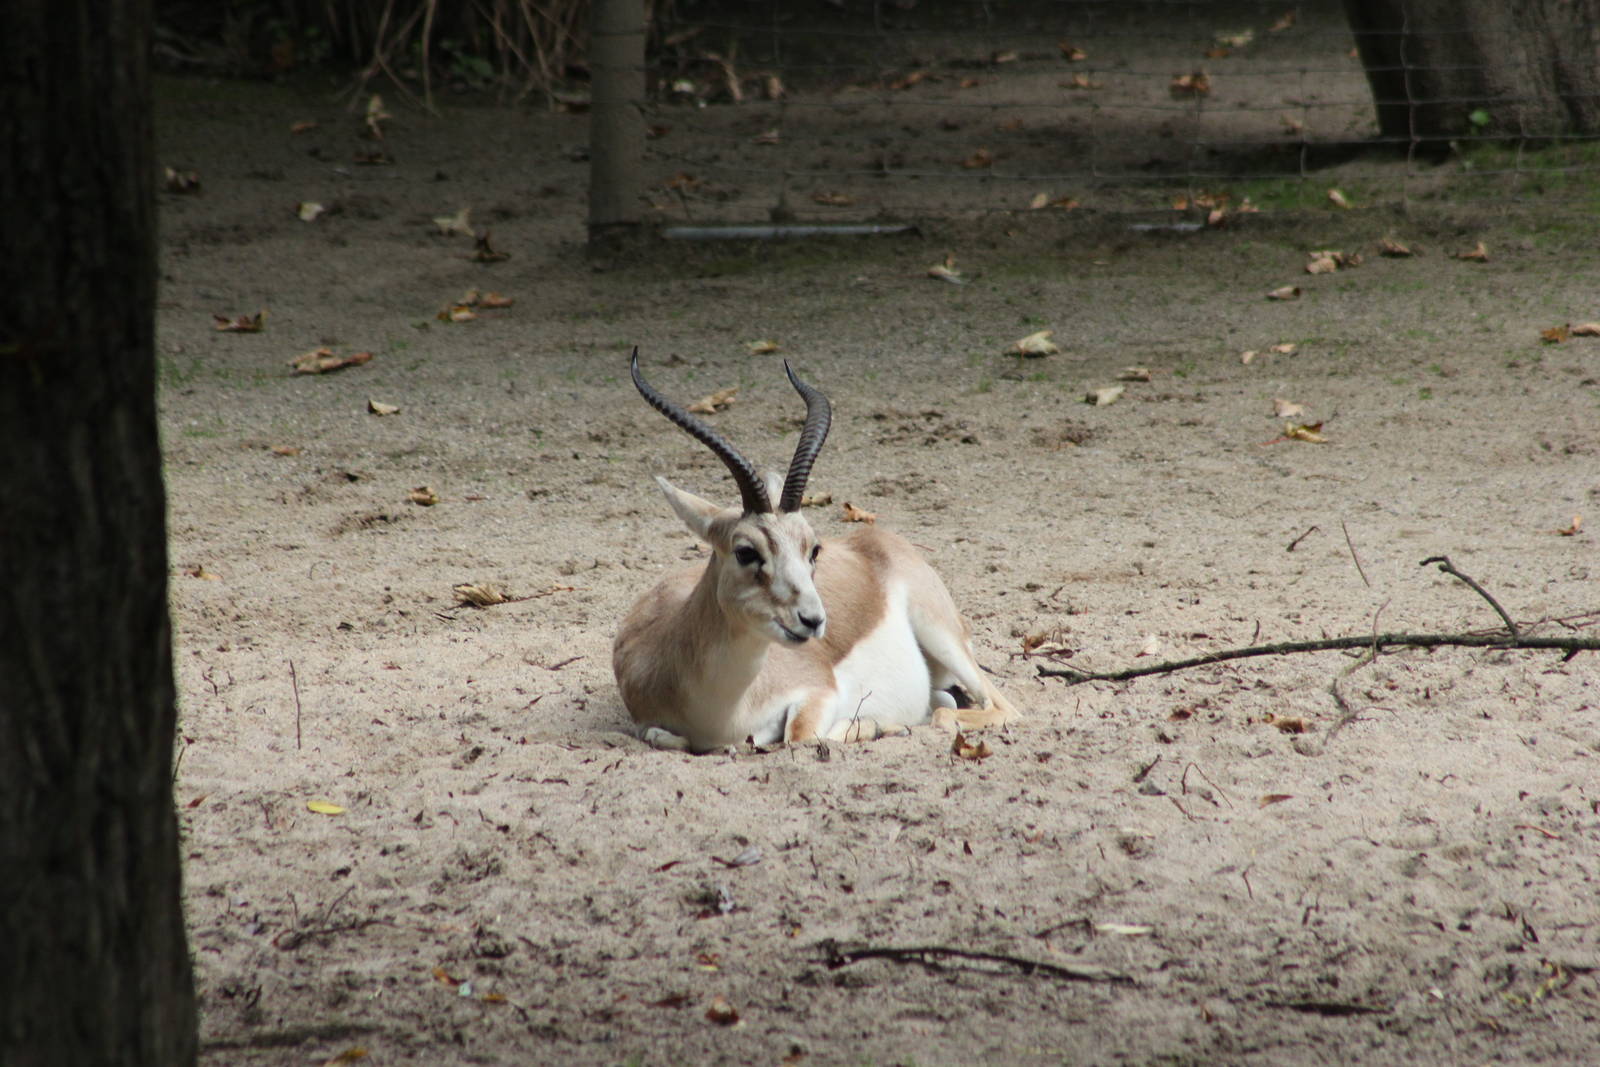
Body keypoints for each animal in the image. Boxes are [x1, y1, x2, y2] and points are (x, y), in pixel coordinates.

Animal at [613, 349, 1019, 752]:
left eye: (814, 549)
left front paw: (876, 727)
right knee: (946, 701)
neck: (720, 712)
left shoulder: (819, 692)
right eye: (745, 551)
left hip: (941, 634)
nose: (812, 620)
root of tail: (875, 542)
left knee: (991, 709)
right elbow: (666, 737)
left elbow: (800, 737)